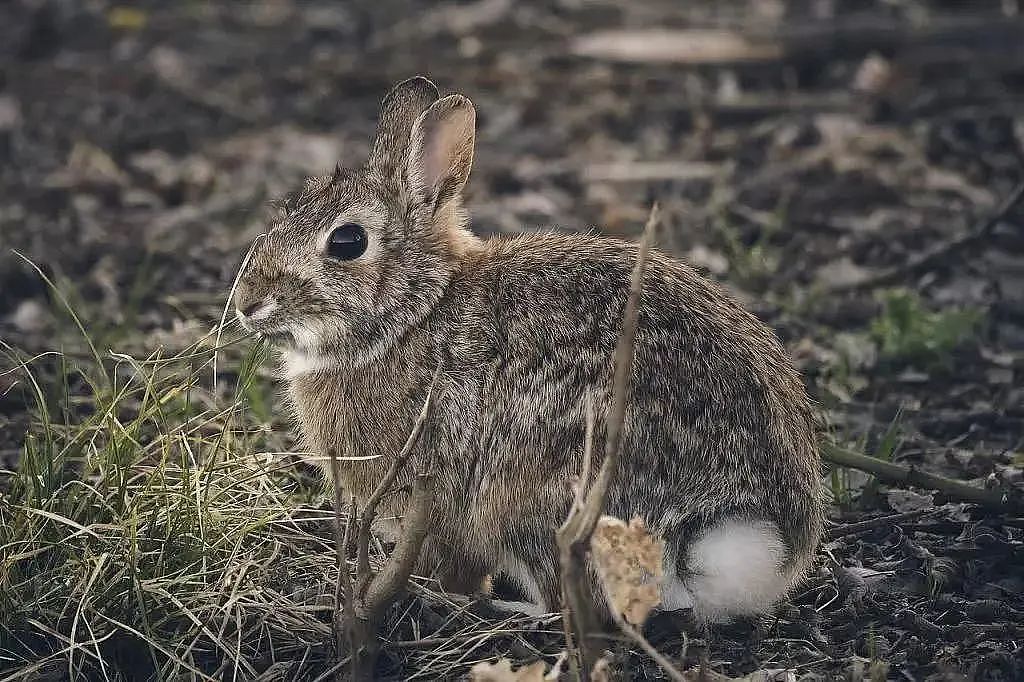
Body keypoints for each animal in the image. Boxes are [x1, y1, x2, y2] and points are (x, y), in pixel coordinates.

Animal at [234, 75, 823, 622]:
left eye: (347, 242)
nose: (246, 303)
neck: (417, 310)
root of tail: (725, 533)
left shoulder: (432, 498)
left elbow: (450, 560)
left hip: (529, 496)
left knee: (562, 600)